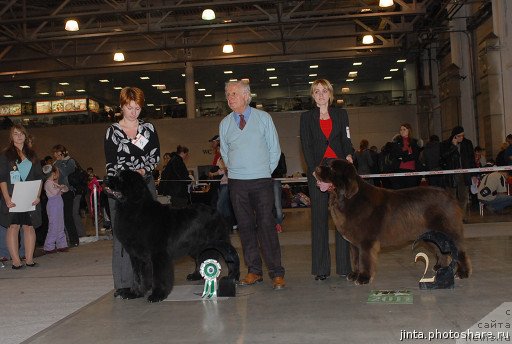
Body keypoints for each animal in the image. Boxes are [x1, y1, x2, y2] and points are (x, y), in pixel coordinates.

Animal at [106, 171, 234, 302]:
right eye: (116, 173)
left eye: (121, 178)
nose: (106, 178)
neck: (134, 209)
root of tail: (216, 211)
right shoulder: (136, 255)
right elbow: (138, 276)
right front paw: (135, 293)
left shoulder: (158, 254)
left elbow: (158, 276)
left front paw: (157, 295)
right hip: (195, 246)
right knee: (201, 258)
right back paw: (196, 275)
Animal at [314, 160, 474, 286]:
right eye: (327, 164)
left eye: (332, 168)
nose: (316, 169)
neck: (348, 199)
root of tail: (450, 196)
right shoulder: (353, 243)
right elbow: (355, 259)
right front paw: (354, 274)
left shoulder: (366, 241)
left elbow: (364, 259)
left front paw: (363, 278)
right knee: (442, 250)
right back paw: (440, 267)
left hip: (447, 231)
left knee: (459, 251)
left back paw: (463, 273)